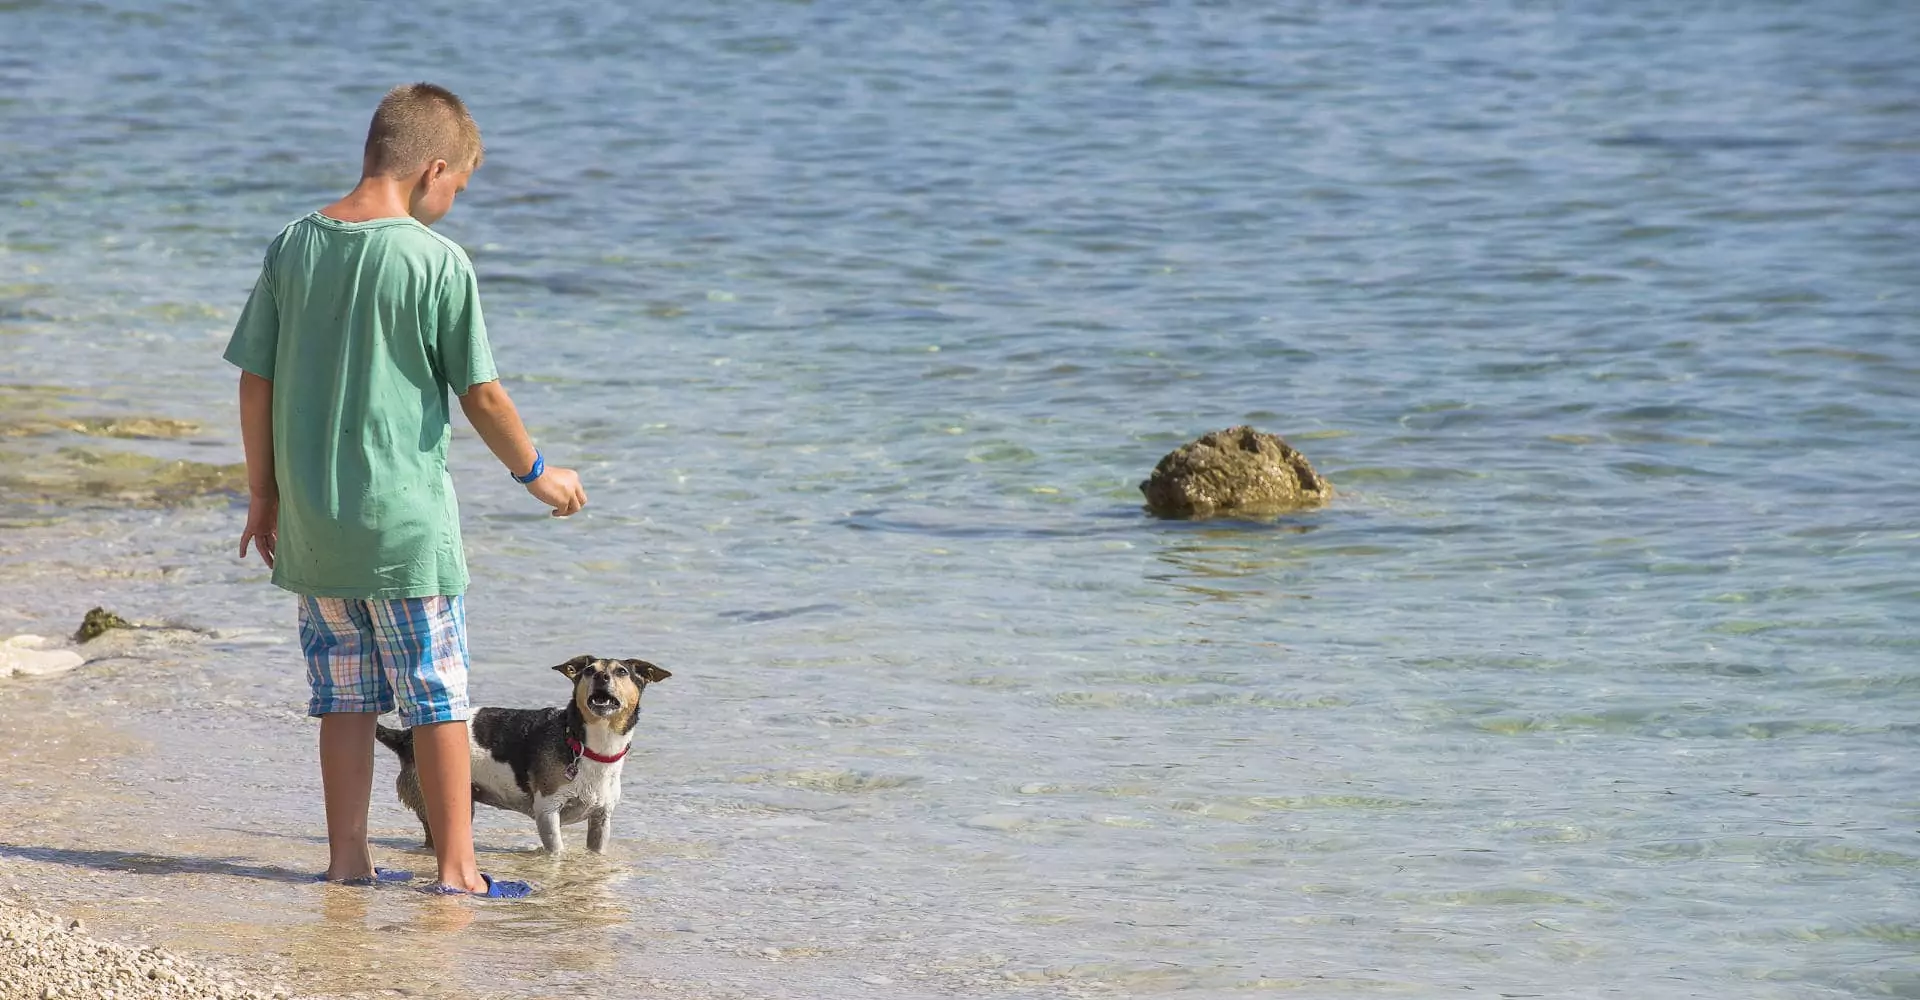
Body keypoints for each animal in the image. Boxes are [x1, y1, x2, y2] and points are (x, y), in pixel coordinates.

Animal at [378, 656, 672, 848]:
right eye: (589, 670)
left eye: (622, 671)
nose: (601, 676)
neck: (587, 745)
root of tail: (406, 737)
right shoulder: (548, 811)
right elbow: (556, 850)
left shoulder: (602, 818)